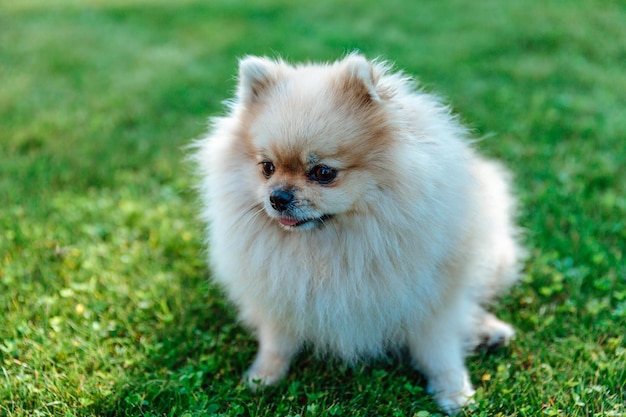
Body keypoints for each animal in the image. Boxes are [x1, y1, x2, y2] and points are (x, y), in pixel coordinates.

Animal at [193, 54, 524, 412]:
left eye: (323, 172)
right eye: (267, 168)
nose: (277, 198)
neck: (335, 244)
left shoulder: (430, 297)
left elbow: (440, 350)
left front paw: (455, 393)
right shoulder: (281, 295)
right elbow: (276, 342)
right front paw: (262, 377)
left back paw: (488, 330)